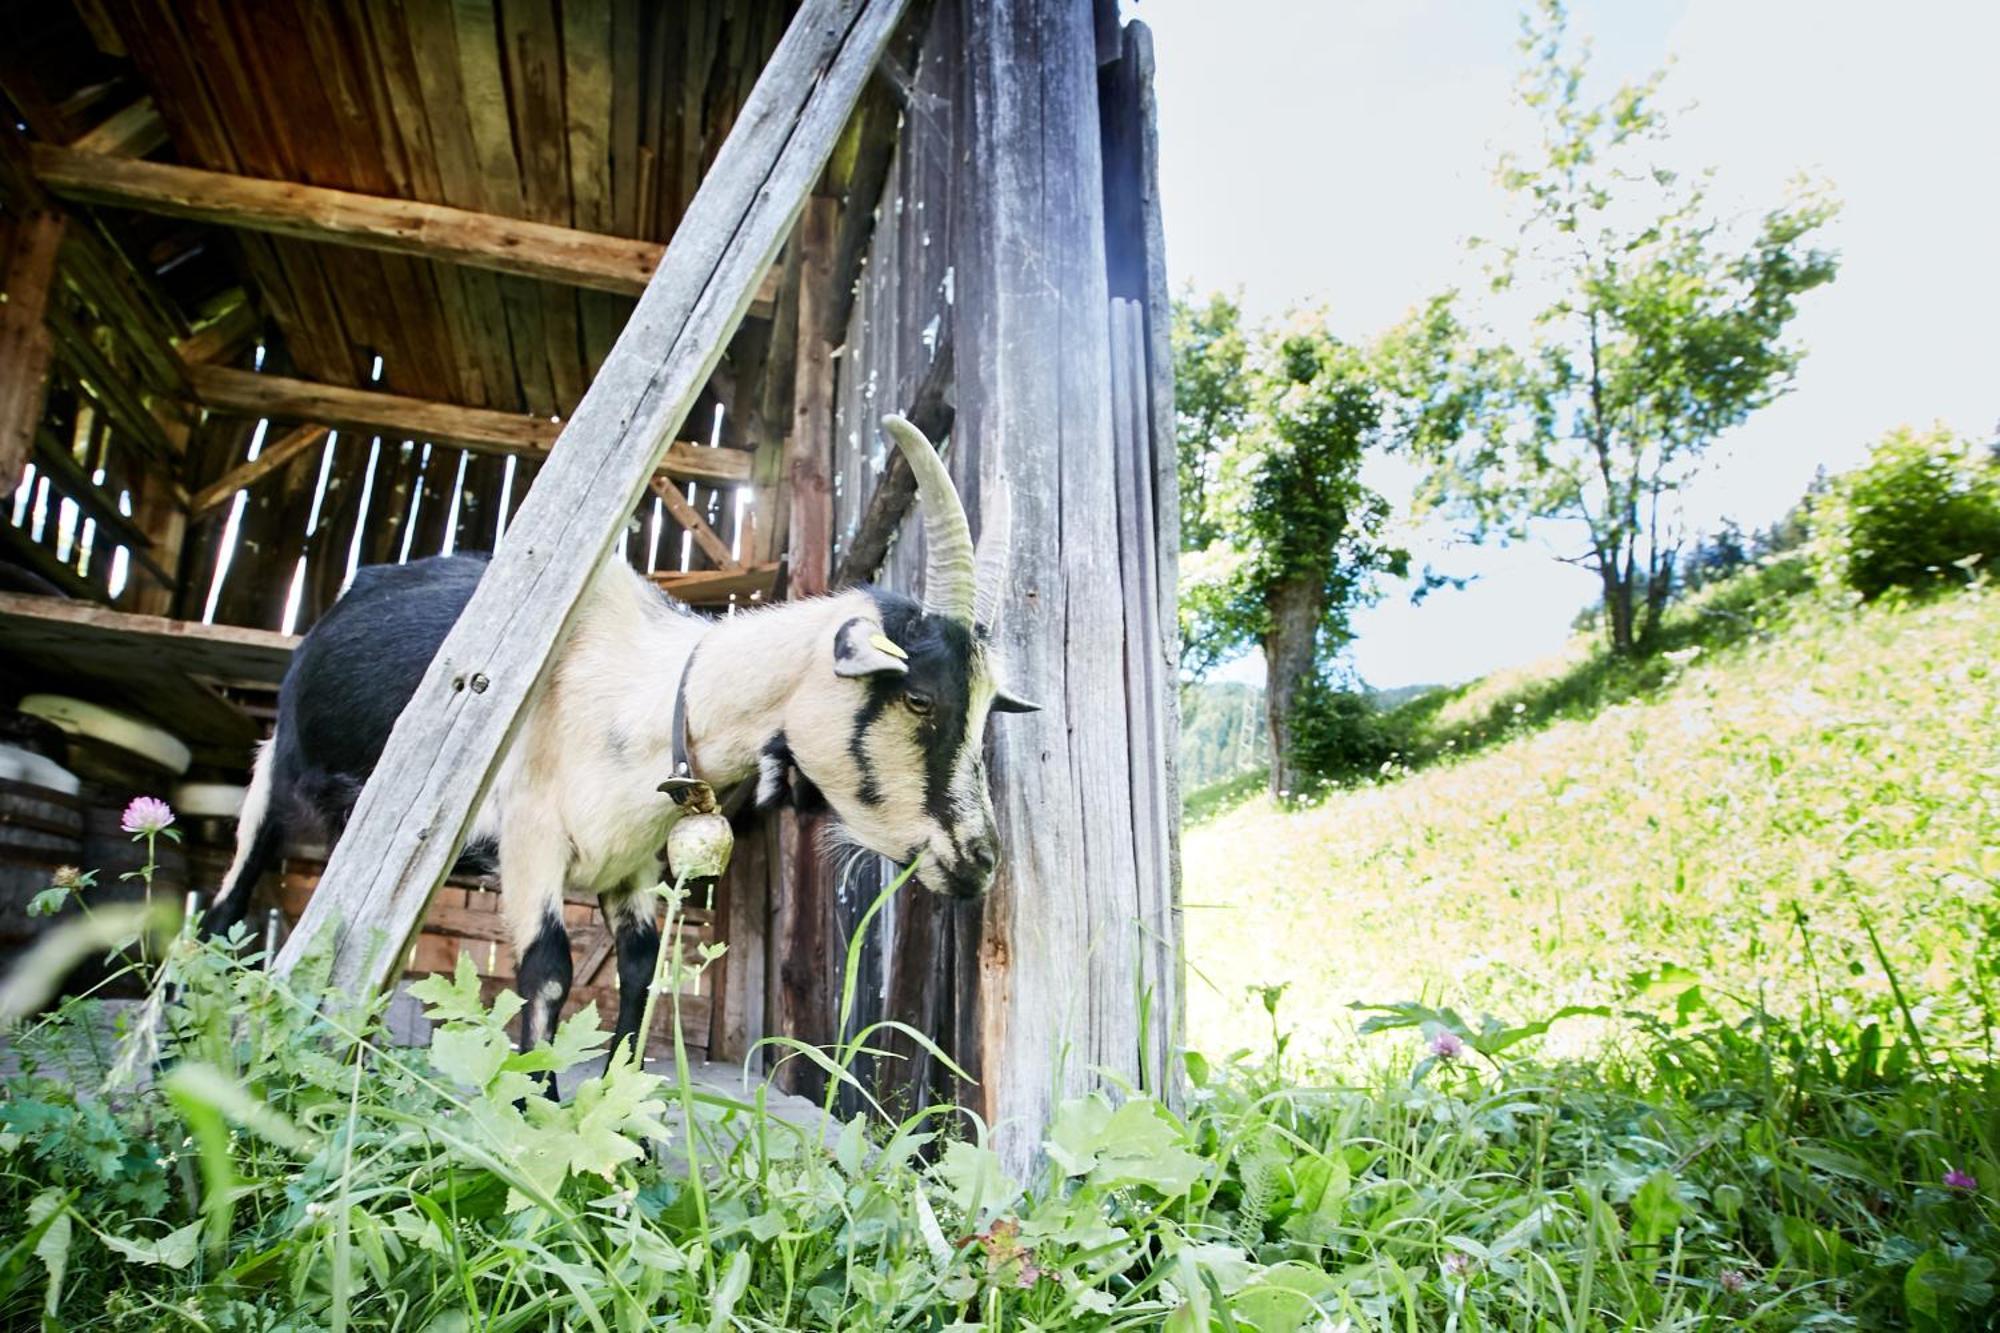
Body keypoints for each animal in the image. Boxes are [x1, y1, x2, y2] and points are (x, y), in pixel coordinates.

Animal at [205, 416, 1040, 1056]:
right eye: (922, 698)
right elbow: (546, 970)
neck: (647, 694)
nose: (980, 860)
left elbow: (638, 968)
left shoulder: (630, 863)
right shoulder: (530, 839)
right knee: (231, 901)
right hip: (275, 768)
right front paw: (533, 1116)